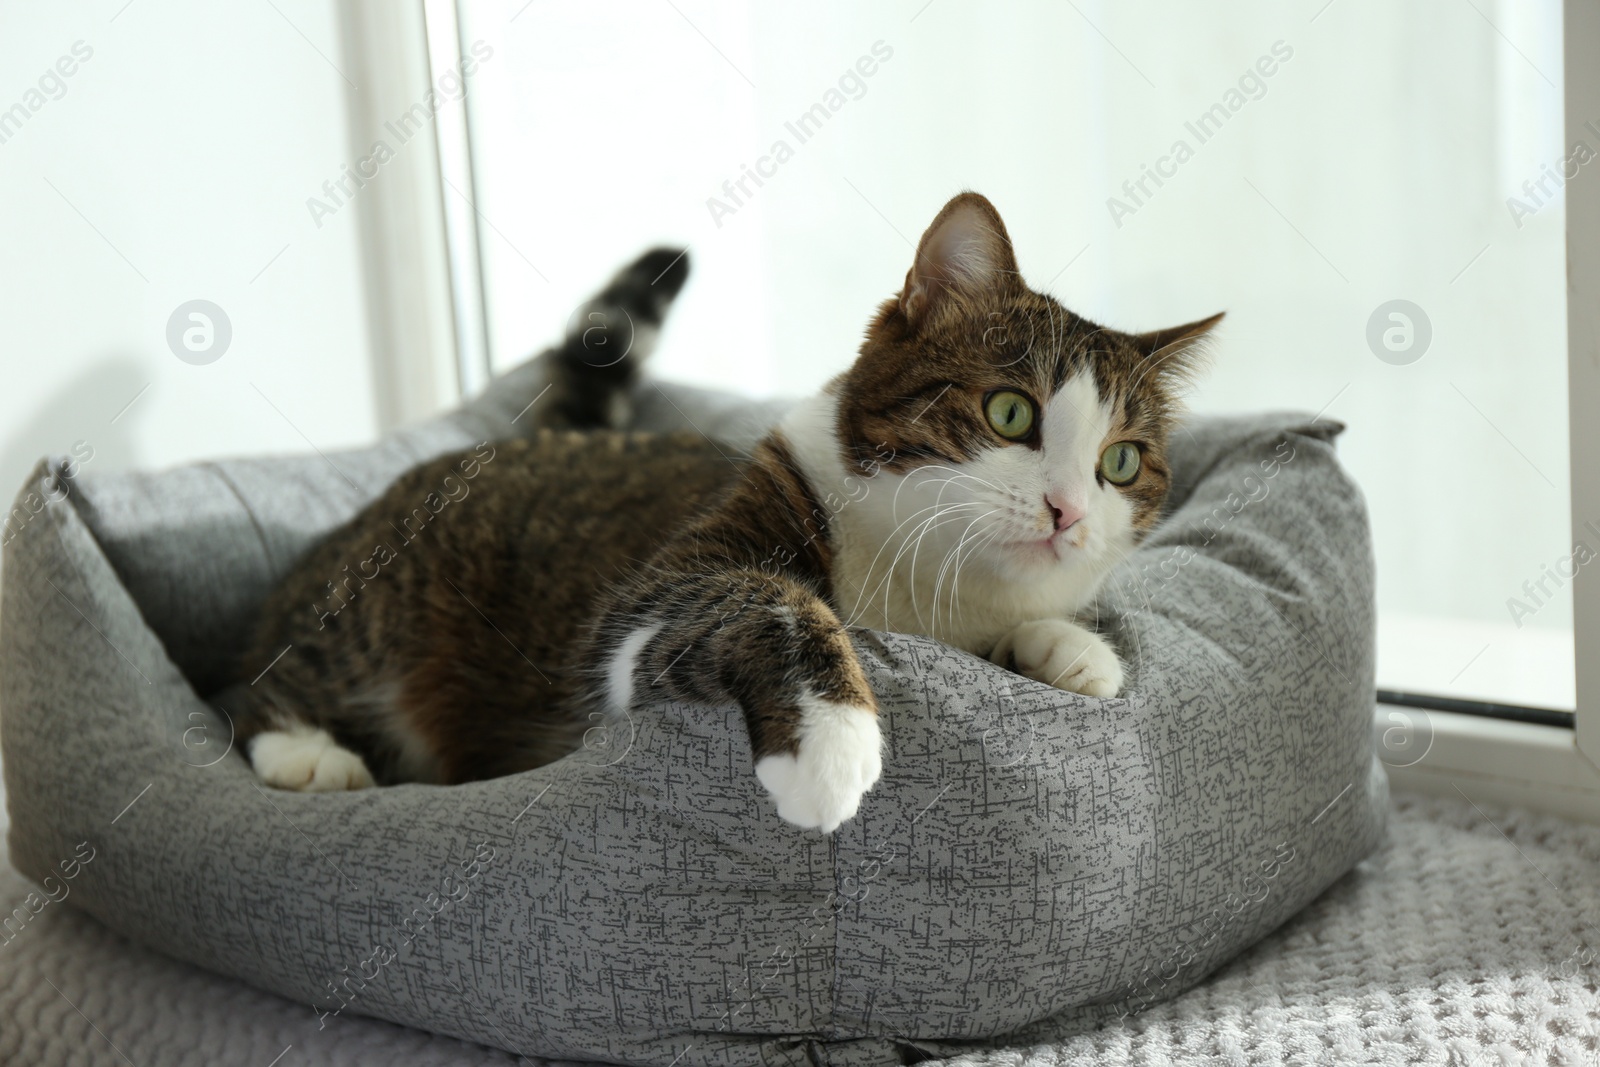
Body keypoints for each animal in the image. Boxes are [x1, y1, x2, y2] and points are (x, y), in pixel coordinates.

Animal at [225, 195, 1216, 838]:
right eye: (1011, 411)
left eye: (1120, 462)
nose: (1067, 511)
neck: (920, 585)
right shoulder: (648, 602)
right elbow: (765, 601)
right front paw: (830, 742)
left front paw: (1073, 649)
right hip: (389, 598)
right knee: (266, 669)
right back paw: (303, 751)